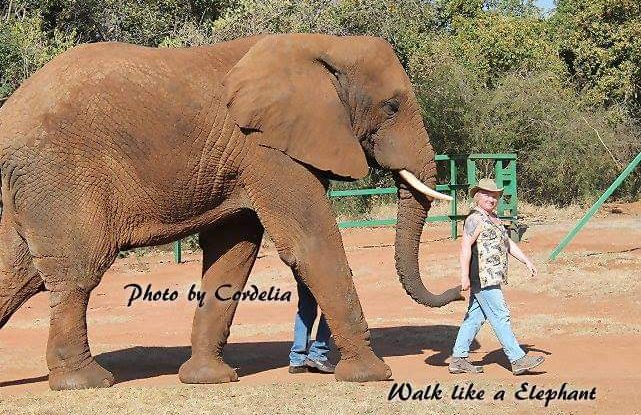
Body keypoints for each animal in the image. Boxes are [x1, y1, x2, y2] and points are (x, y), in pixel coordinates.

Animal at [0, 33, 462, 390]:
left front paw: (209, 379)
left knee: (16, 273)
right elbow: (310, 242)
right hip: (59, 177)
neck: (324, 46)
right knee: (78, 272)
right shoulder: (264, 148)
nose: (458, 290)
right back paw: (87, 382)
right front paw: (371, 376)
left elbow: (233, 253)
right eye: (392, 107)